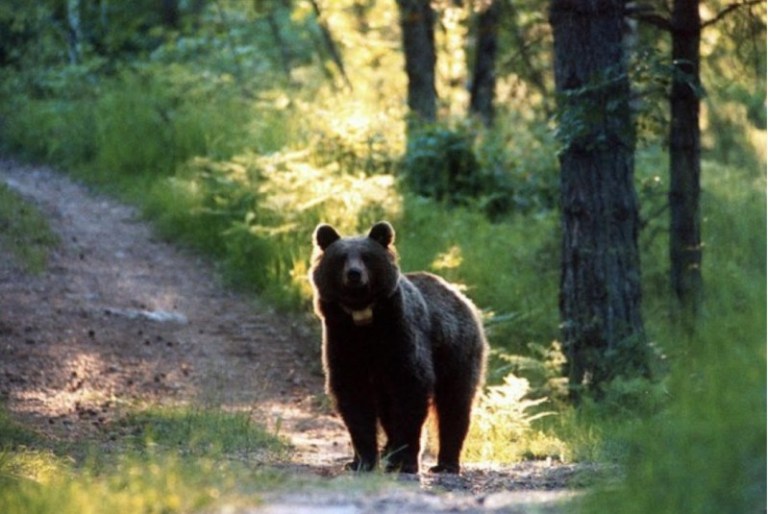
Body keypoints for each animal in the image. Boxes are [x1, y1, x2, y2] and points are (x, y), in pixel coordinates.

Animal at [310, 220, 486, 472]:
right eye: (341, 258)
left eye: (366, 256)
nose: (354, 274)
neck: (363, 319)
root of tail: (461, 296)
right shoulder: (343, 341)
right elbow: (353, 398)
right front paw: (362, 460)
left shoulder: (400, 337)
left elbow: (410, 391)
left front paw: (405, 461)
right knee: (386, 408)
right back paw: (387, 451)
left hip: (456, 350)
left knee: (455, 402)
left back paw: (446, 463)